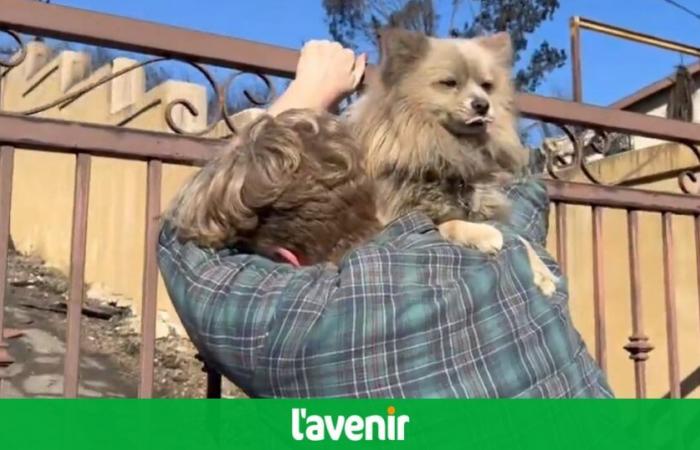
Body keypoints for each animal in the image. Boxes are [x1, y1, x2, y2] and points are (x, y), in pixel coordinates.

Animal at [350, 29, 556, 296]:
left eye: (487, 86)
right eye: (449, 83)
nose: (482, 104)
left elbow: (520, 238)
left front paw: (542, 271)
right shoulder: (393, 219)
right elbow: (448, 223)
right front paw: (484, 234)